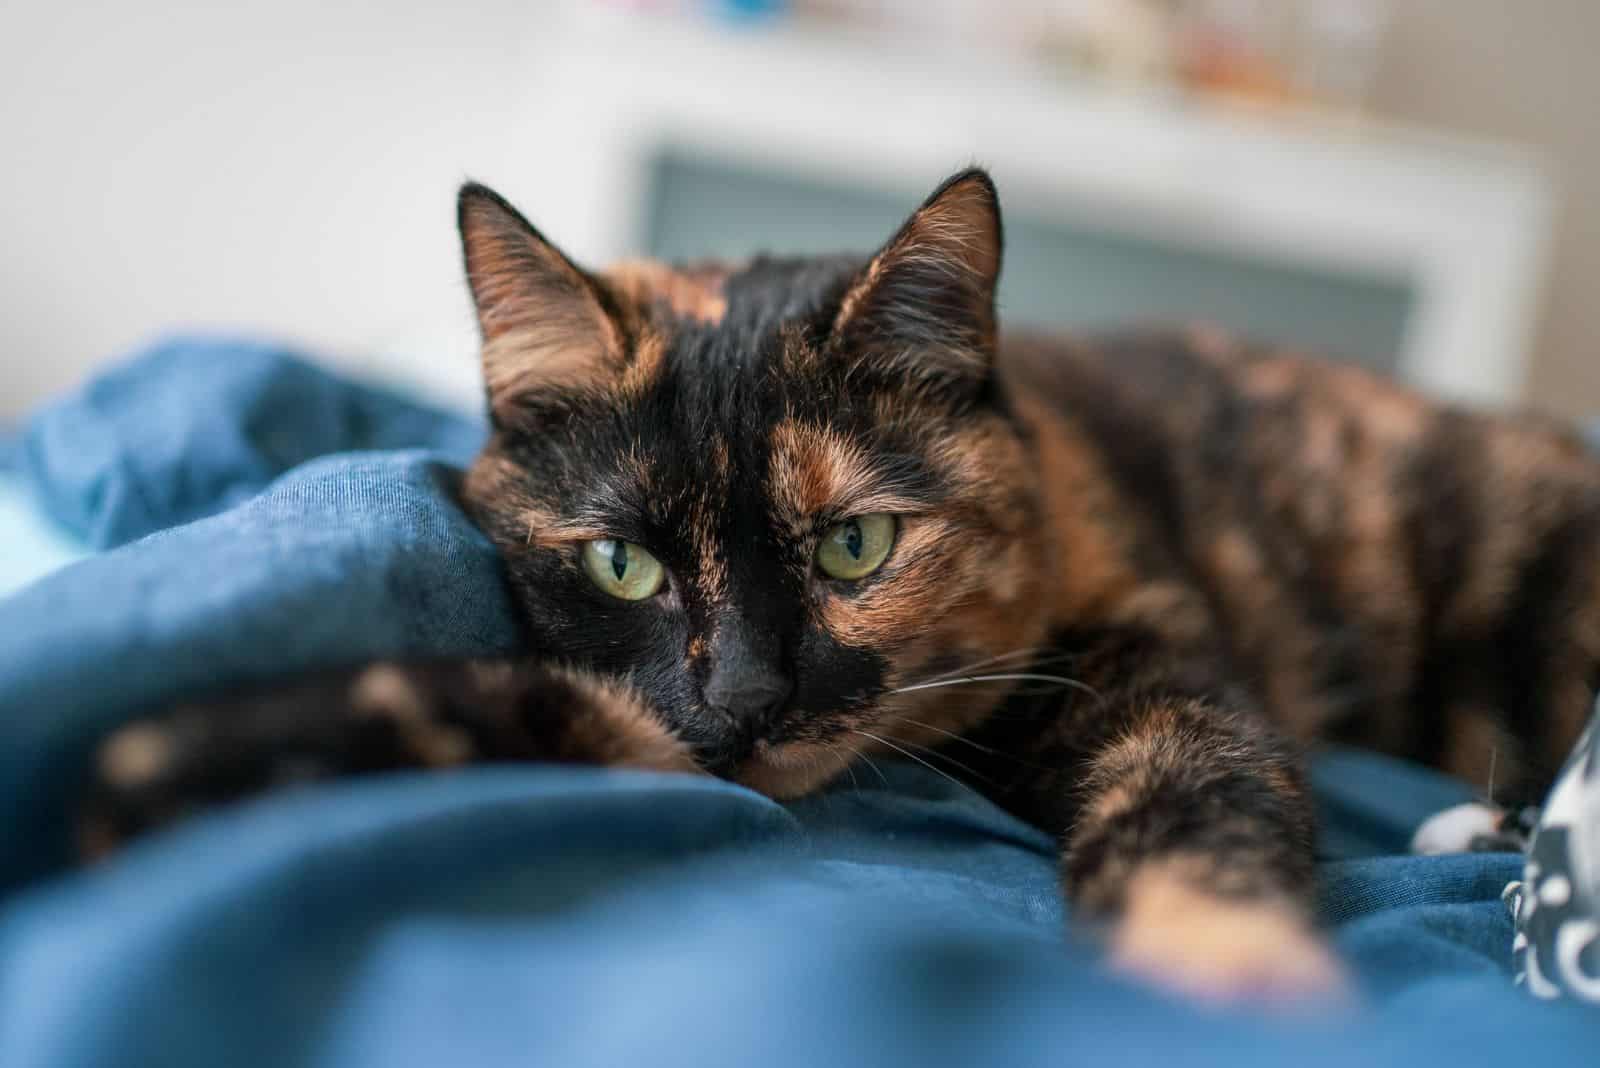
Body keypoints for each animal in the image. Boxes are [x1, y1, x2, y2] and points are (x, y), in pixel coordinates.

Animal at [84, 167, 1600, 1004]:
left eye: (854, 547)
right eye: (623, 561)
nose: (750, 695)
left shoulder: (1160, 683)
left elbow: (1197, 818)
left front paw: (1227, 982)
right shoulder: (668, 728)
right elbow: (508, 704)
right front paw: (156, 770)